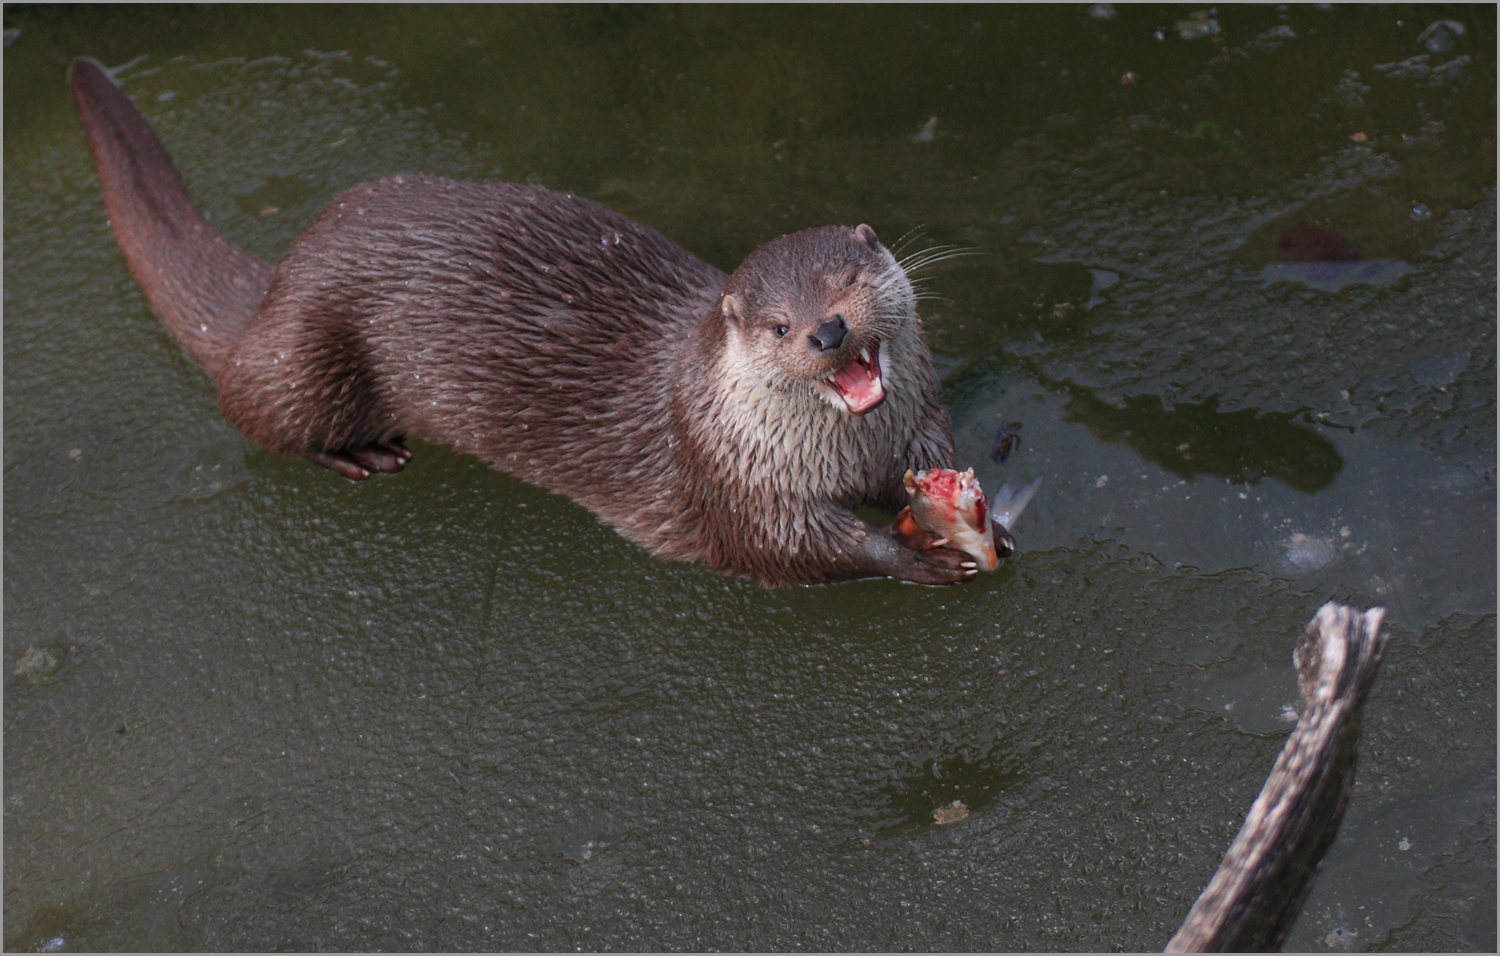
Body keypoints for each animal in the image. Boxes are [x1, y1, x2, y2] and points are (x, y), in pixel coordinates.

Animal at [73, 57, 1008, 588]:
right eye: (779, 325)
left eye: (847, 277)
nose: (829, 332)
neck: (845, 455)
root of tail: (277, 284)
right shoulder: (736, 484)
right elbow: (792, 551)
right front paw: (916, 557)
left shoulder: (917, 423)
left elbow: (936, 453)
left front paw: (978, 517)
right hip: (305, 357)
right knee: (250, 406)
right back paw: (361, 454)